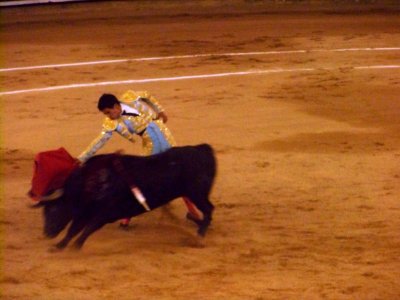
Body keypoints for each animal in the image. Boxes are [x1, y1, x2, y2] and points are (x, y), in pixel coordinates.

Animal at [28, 144, 216, 250]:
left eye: (53, 208)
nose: (47, 233)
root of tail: (201, 149)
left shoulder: (104, 215)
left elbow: (87, 229)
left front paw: (75, 246)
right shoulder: (84, 212)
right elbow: (72, 229)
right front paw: (58, 246)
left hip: (197, 193)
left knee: (209, 210)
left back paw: (199, 238)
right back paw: (195, 223)